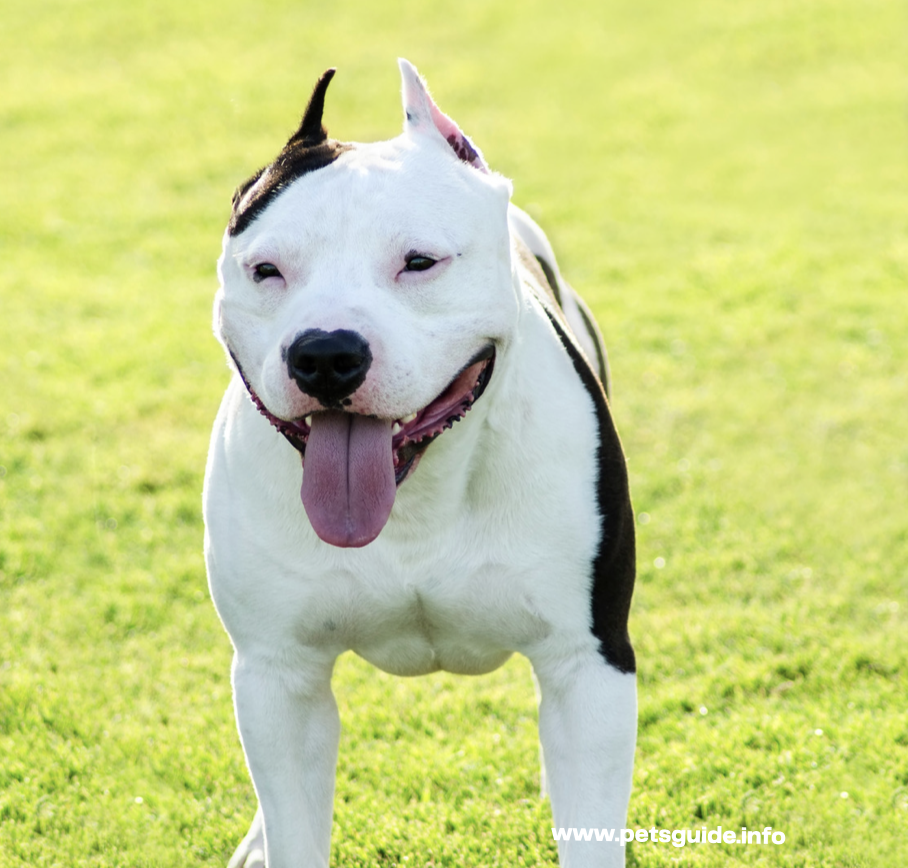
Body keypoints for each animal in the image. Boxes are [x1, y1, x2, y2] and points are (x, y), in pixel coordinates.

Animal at [203, 61, 636, 868]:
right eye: (267, 270)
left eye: (419, 263)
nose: (326, 353)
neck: (416, 500)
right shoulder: (279, 675)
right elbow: (295, 820)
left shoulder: (587, 663)